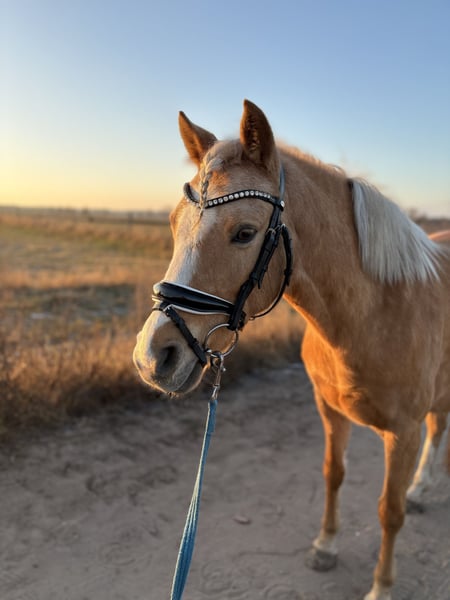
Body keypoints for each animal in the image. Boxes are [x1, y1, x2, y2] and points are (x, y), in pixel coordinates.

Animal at [133, 100, 450, 600]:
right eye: (172, 223)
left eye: (245, 232)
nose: (152, 358)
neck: (373, 313)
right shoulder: (330, 411)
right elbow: (333, 475)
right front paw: (325, 546)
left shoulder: (404, 433)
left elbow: (389, 510)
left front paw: (382, 586)